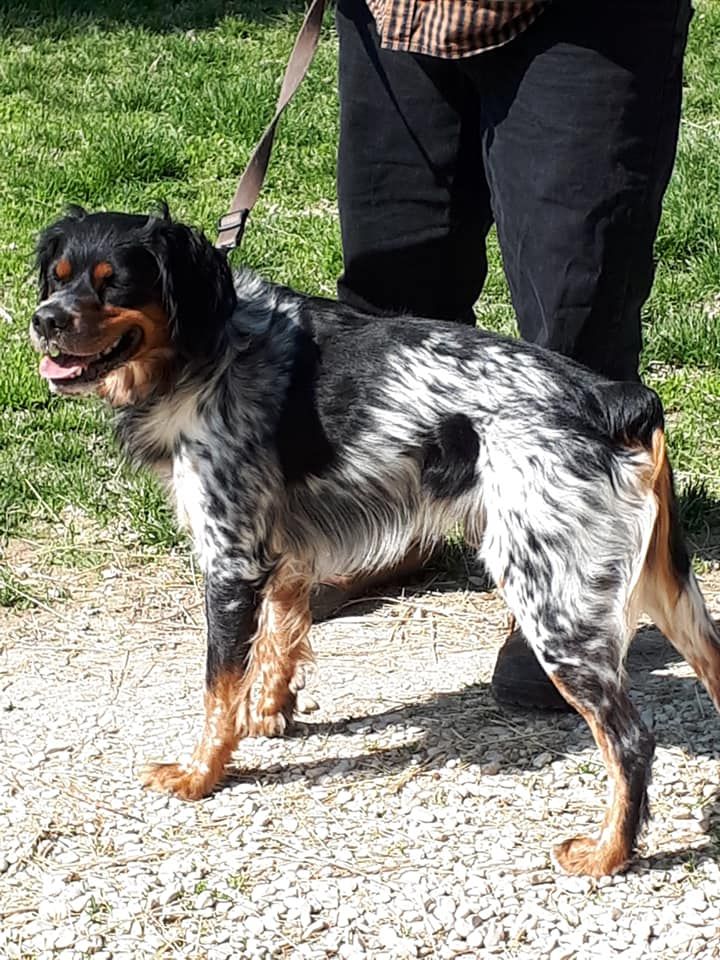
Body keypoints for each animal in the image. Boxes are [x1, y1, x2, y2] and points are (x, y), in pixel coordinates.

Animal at [31, 210, 720, 876]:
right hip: (667, 593)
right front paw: (268, 713)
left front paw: (202, 773)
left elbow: (216, 686)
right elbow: (279, 638)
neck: (210, 348)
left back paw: (608, 854)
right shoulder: (281, 548)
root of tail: (616, 397)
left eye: (113, 283)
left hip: (553, 604)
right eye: (57, 278)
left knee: (630, 741)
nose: (43, 321)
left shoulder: (229, 560)